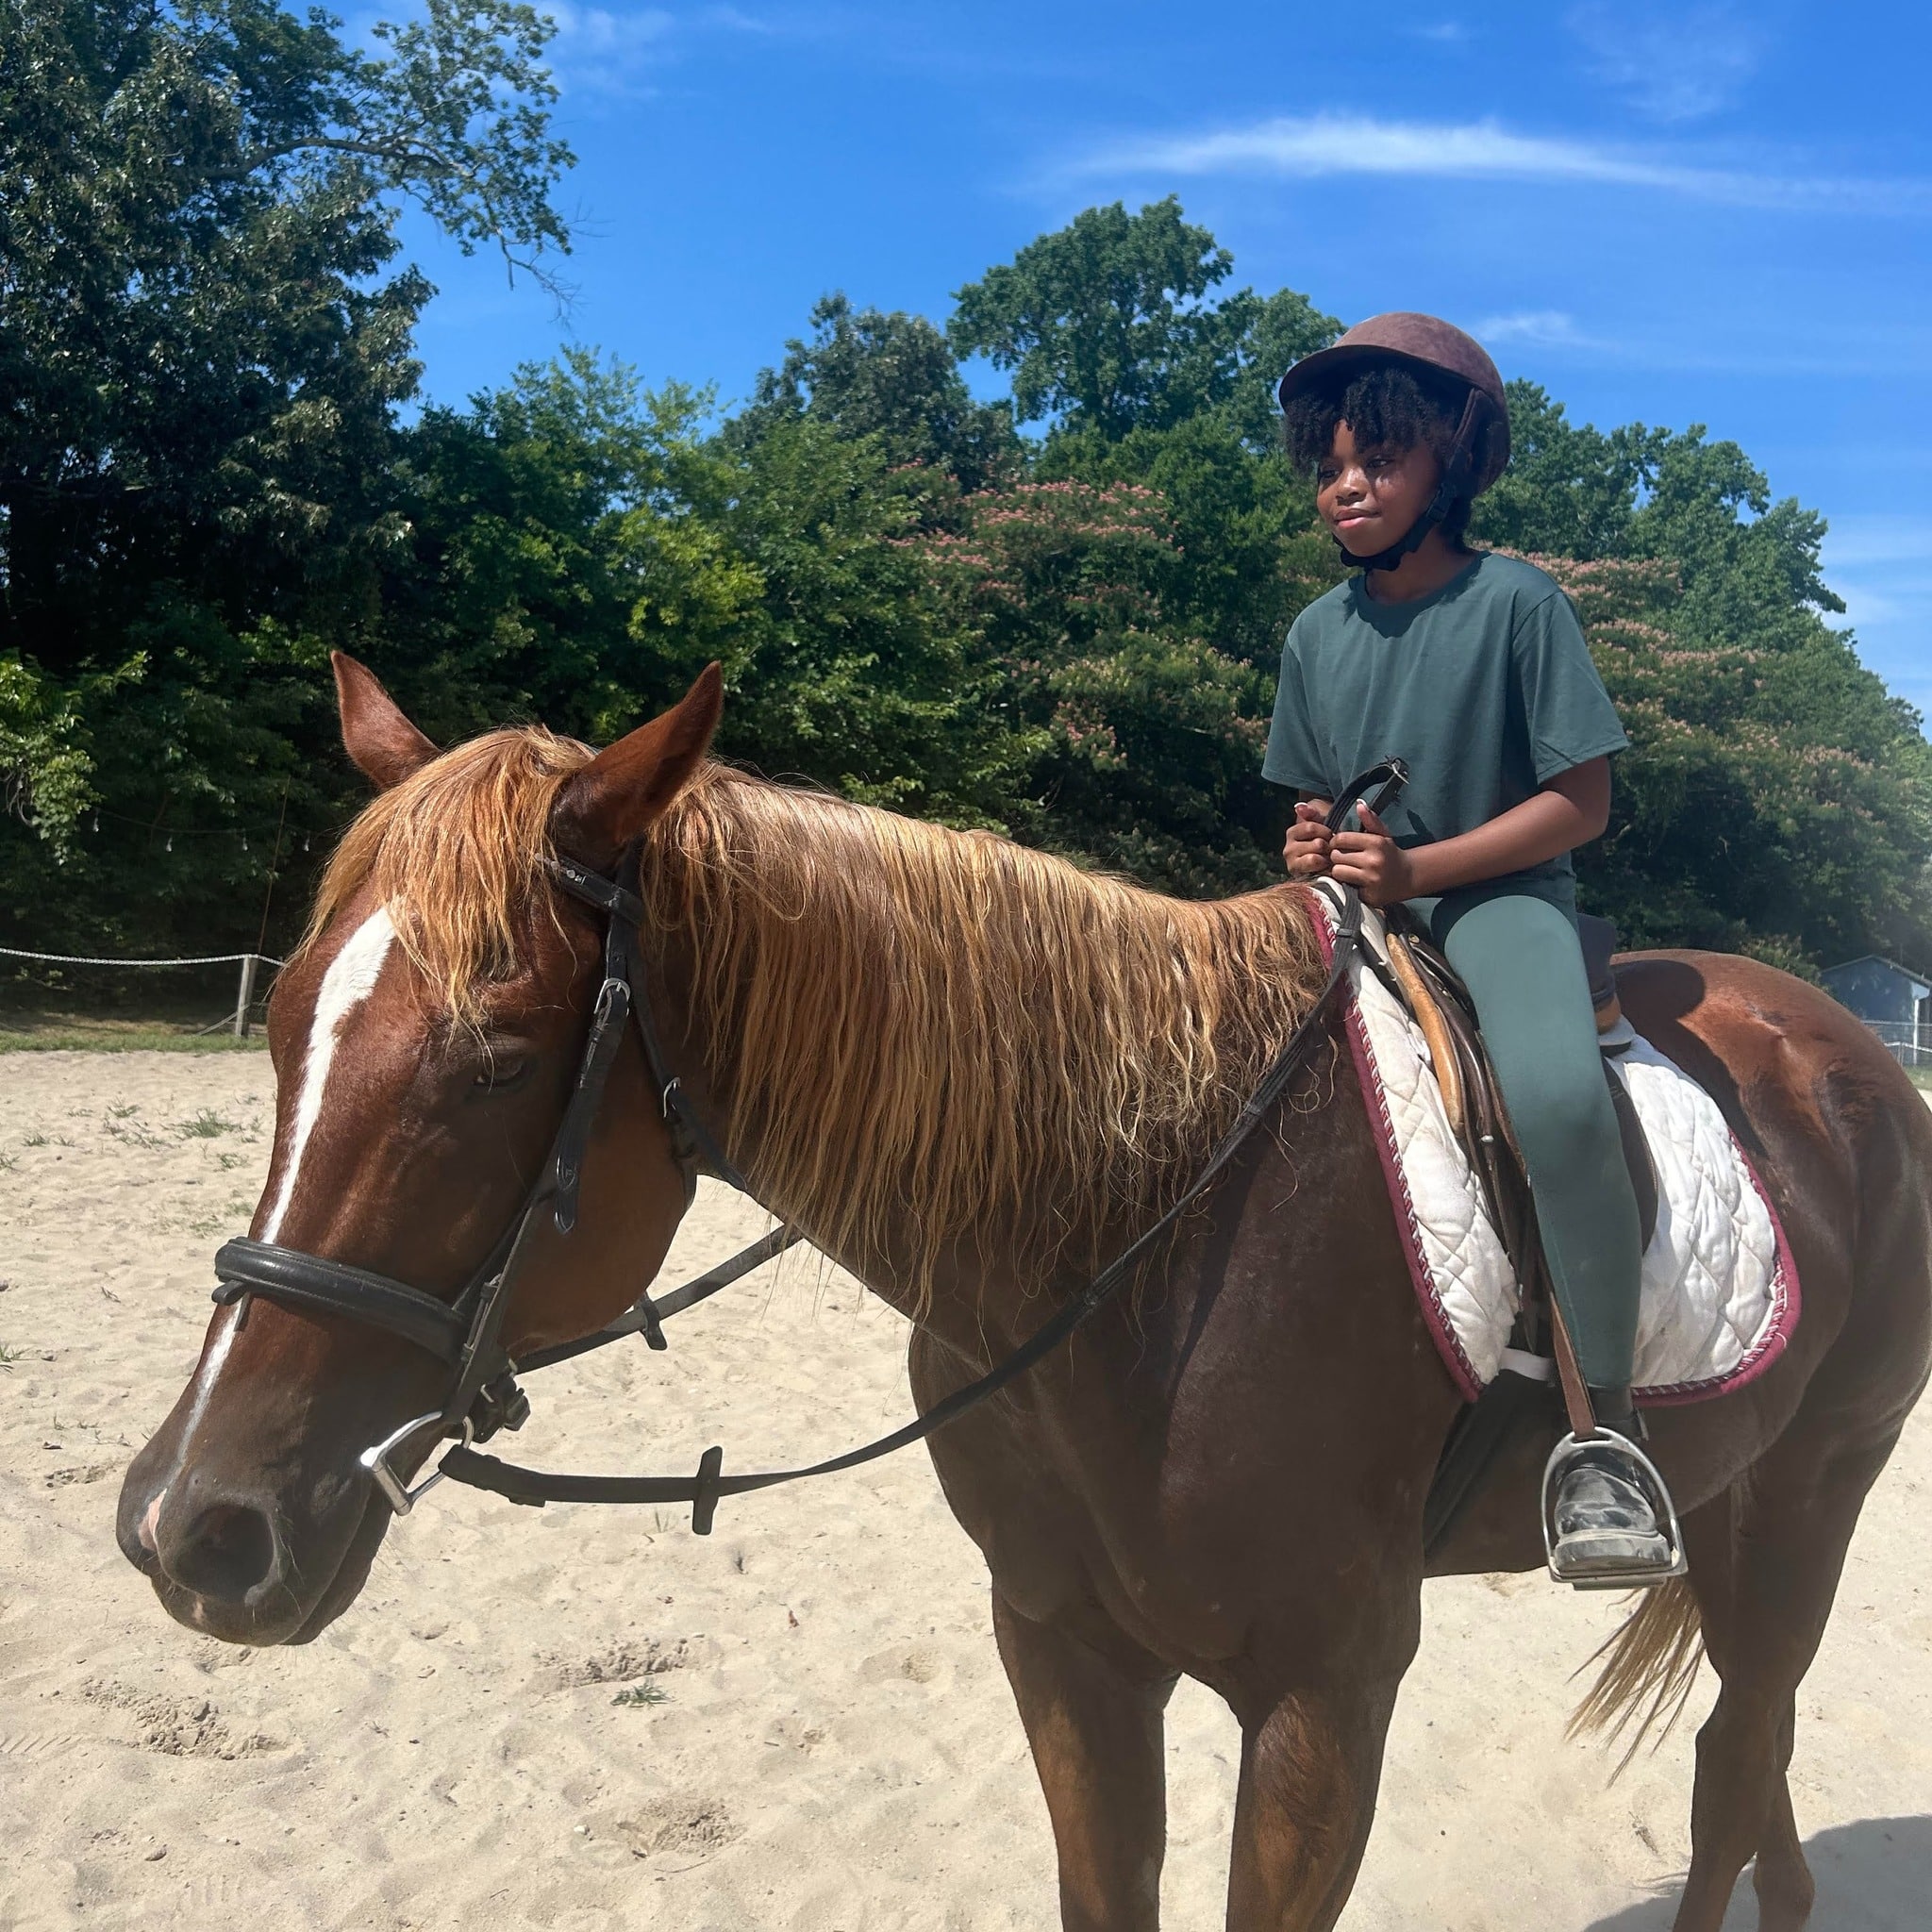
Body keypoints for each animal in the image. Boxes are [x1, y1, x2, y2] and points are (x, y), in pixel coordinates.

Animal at [117, 655, 1932, 1932]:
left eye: (494, 1062)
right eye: (285, 1023)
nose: (192, 1527)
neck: (1142, 1237)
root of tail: (1839, 1042)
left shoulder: (1324, 1692)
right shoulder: (1063, 1649)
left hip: (1813, 1490)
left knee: (1733, 1760)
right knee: (1755, 1759)